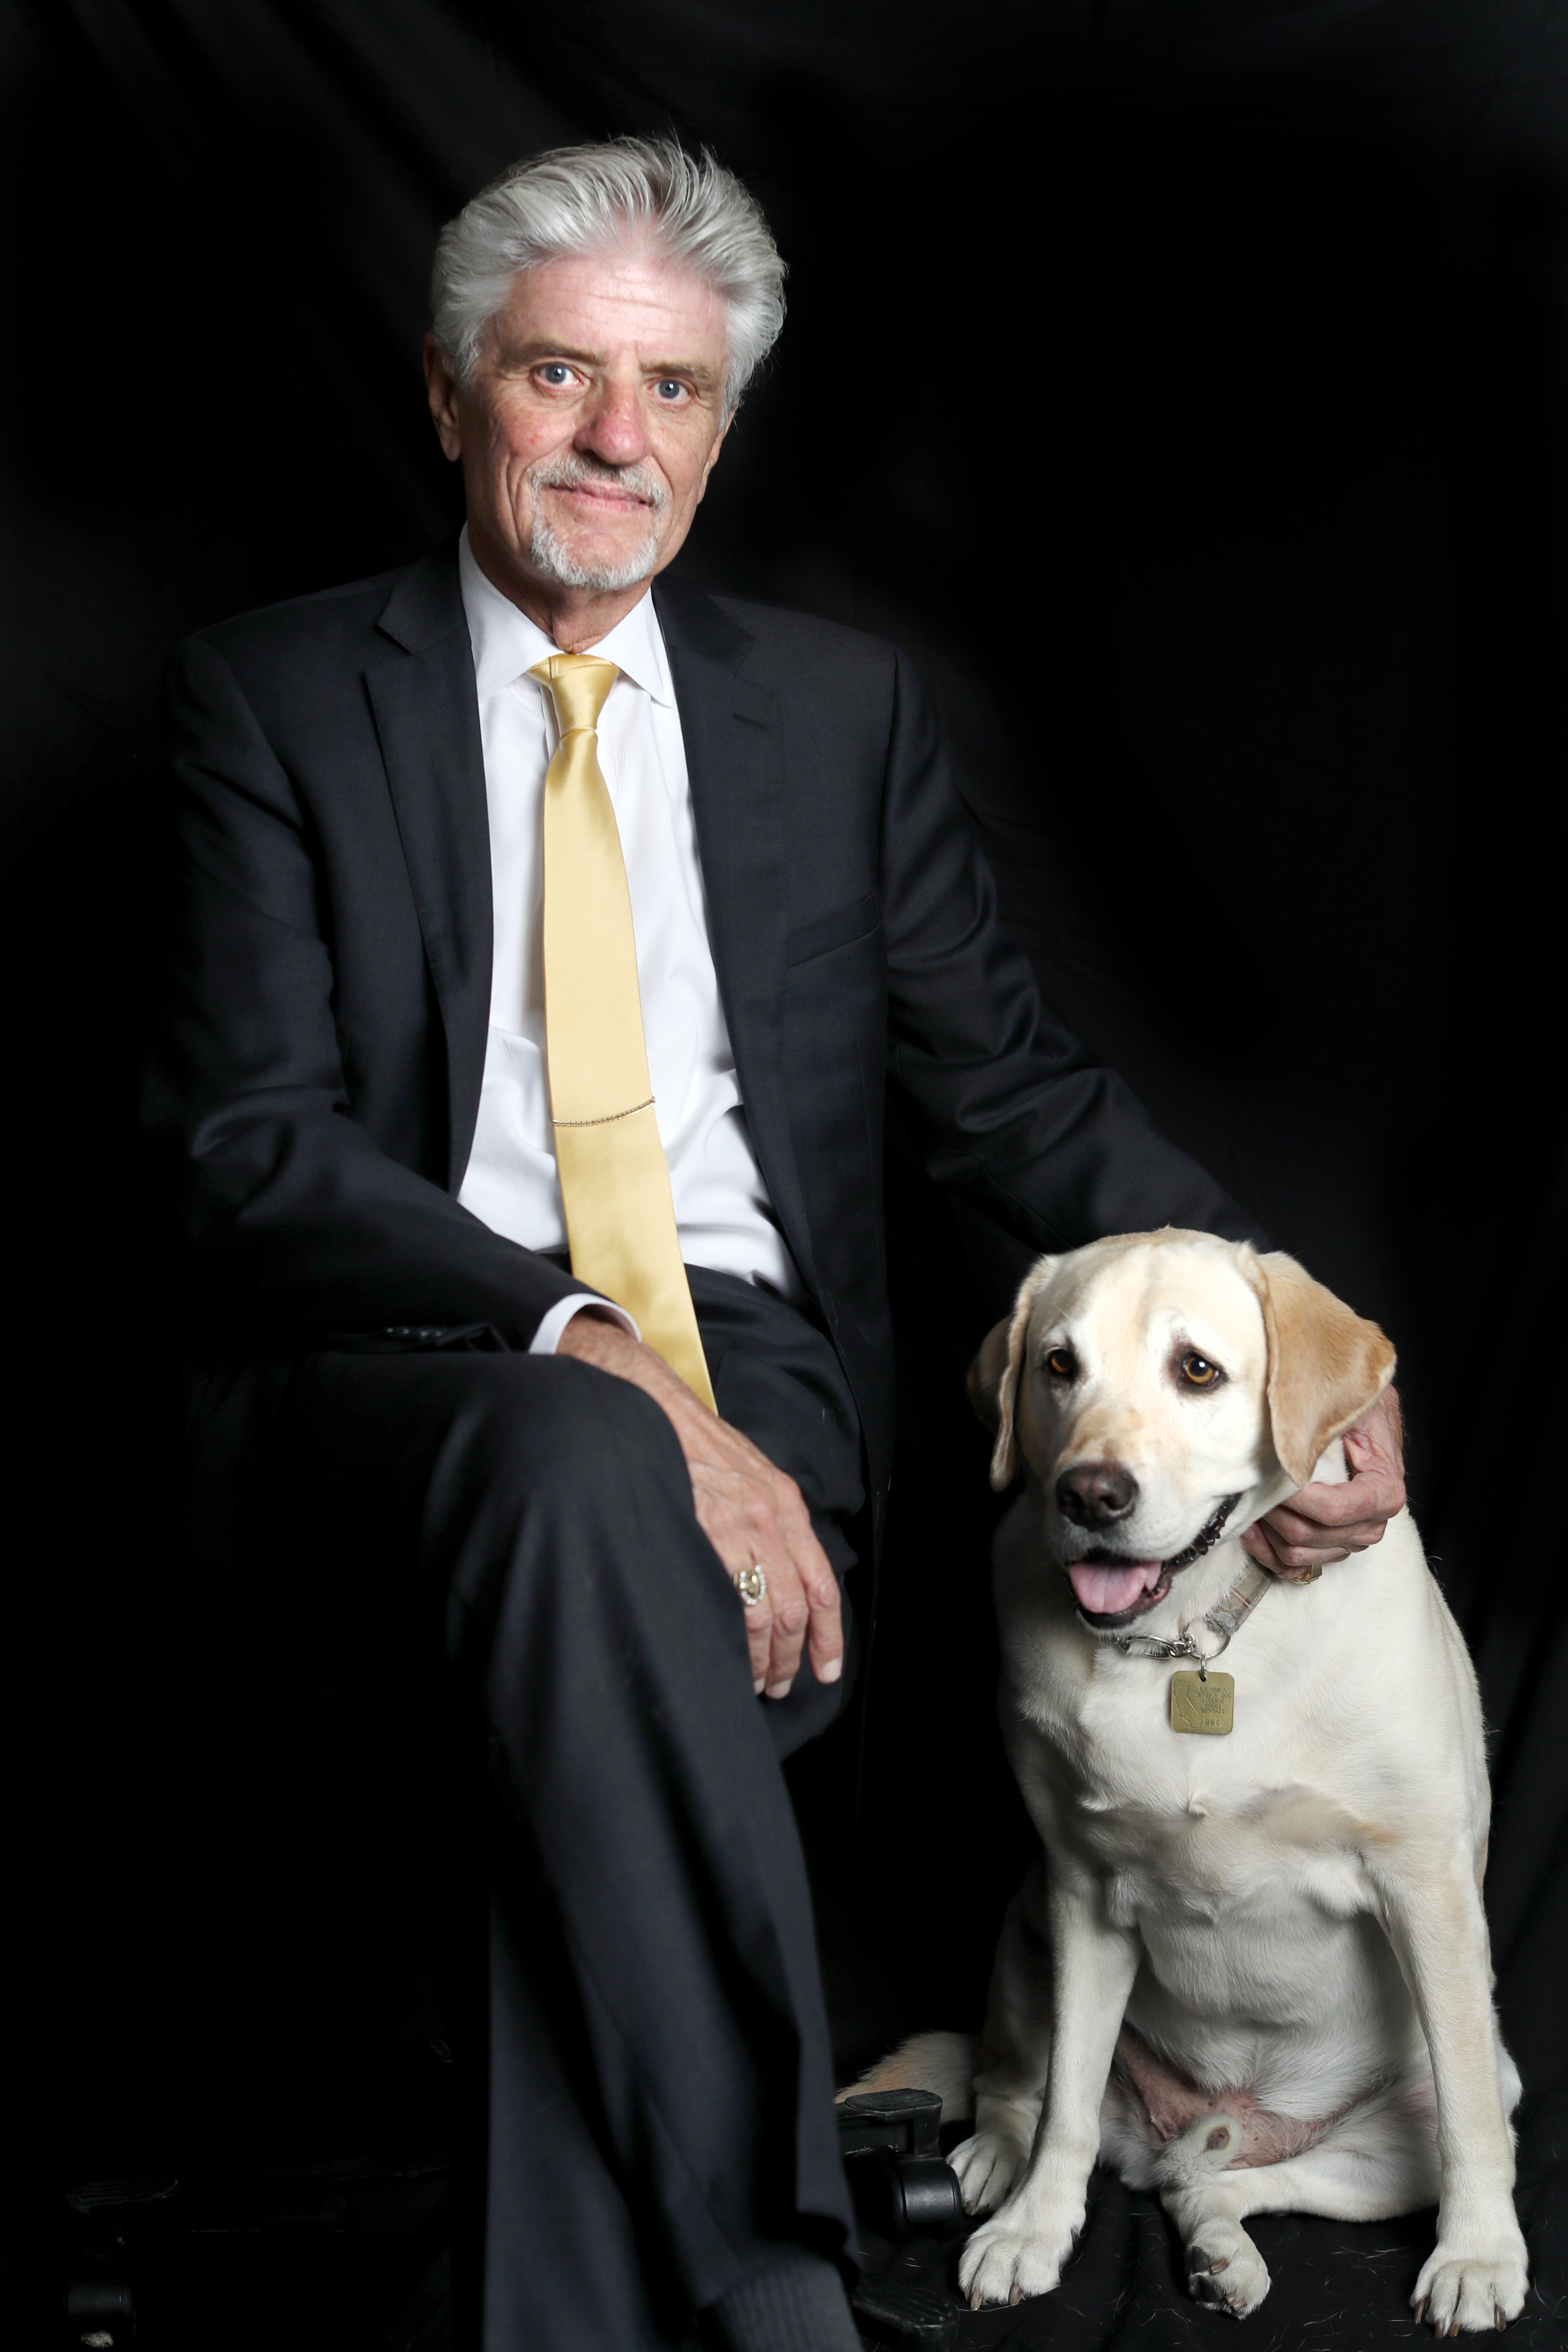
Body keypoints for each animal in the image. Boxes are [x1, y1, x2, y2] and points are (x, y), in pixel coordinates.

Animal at [860, 1232, 1532, 2333]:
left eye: (1199, 1371)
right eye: (1058, 1365)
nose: (1090, 1494)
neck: (1189, 1641)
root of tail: (1199, 2125)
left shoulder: (1425, 1884)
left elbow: (1472, 2115)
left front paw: (1478, 2253)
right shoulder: (1082, 1890)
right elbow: (1066, 2105)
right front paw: (1037, 2227)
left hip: (1391, 2131)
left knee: (1212, 2184)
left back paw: (1225, 2248)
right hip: (1027, 1926)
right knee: (1023, 2083)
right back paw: (1001, 2156)